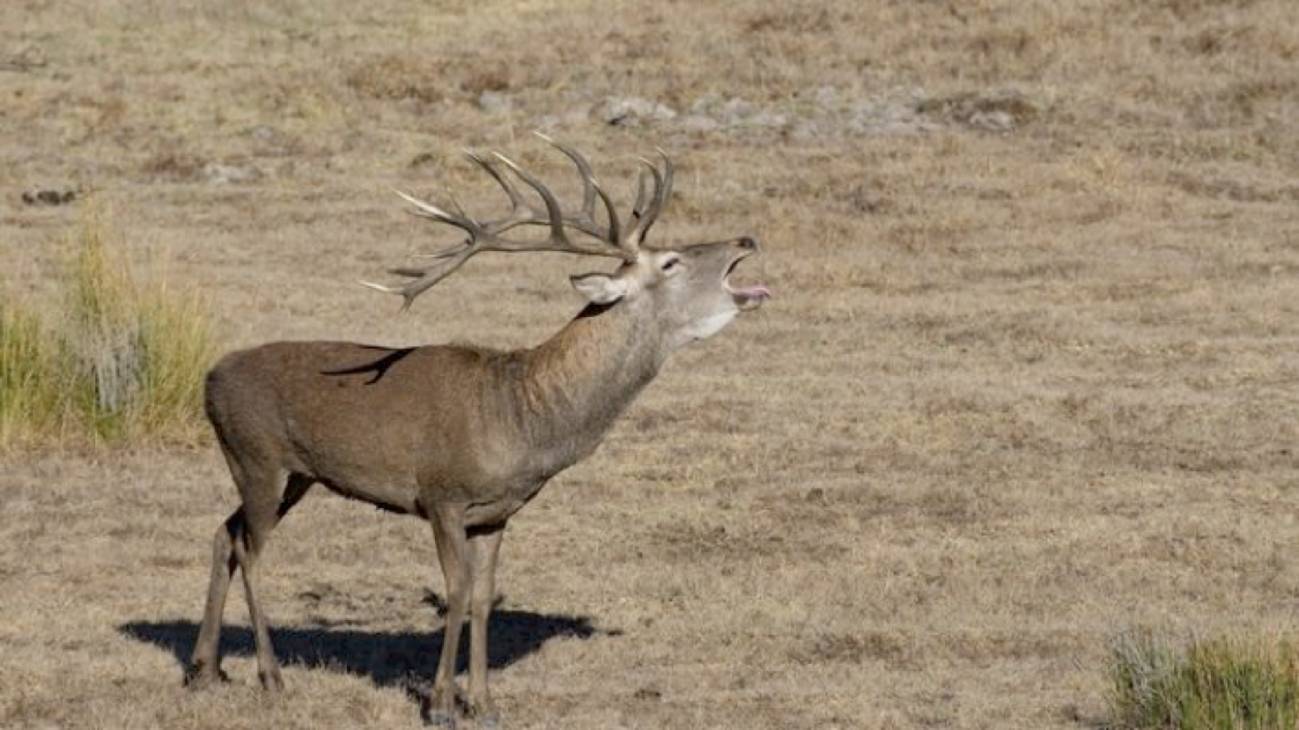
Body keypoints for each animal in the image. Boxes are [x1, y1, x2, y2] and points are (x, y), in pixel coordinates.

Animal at [184, 135, 769, 722]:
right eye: (670, 261)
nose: (746, 238)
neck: (520, 417)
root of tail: (210, 377)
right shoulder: (442, 494)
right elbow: (458, 591)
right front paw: (441, 703)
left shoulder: (497, 512)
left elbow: (485, 597)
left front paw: (484, 702)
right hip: (258, 457)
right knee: (250, 550)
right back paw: (270, 676)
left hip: (293, 475)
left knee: (223, 532)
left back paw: (204, 669)